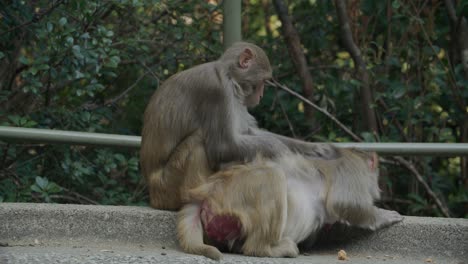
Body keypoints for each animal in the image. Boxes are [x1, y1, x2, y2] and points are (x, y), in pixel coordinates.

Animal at [177, 133, 404, 258]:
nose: (380, 186)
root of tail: (206, 192)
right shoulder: (351, 170)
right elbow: (345, 203)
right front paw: (383, 215)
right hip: (237, 194)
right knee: (272, 177)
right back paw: (268, 249)